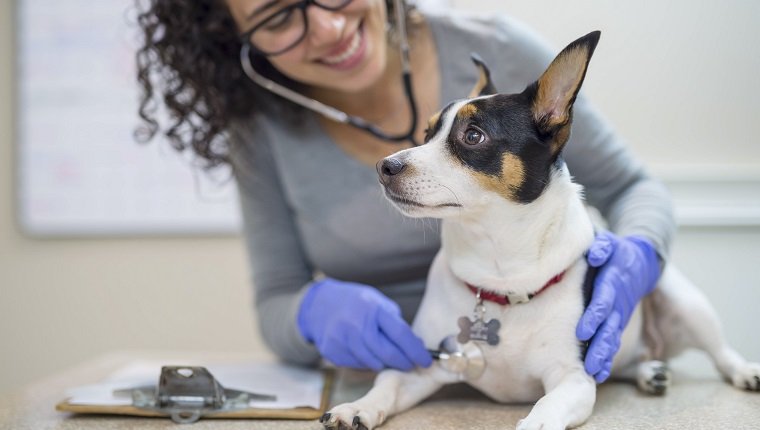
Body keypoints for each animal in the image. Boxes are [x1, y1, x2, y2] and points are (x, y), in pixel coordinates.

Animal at [320, 31, 760, 430]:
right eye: (426, 134)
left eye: (472, 136)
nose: (385, 166)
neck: (499, 272)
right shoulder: (424, 363)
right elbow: (387, 384)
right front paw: (356, 406)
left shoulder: (573, 380)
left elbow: (548, 407)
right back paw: (648, 371)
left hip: (682, 299)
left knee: (719, 351)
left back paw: (741, 370)